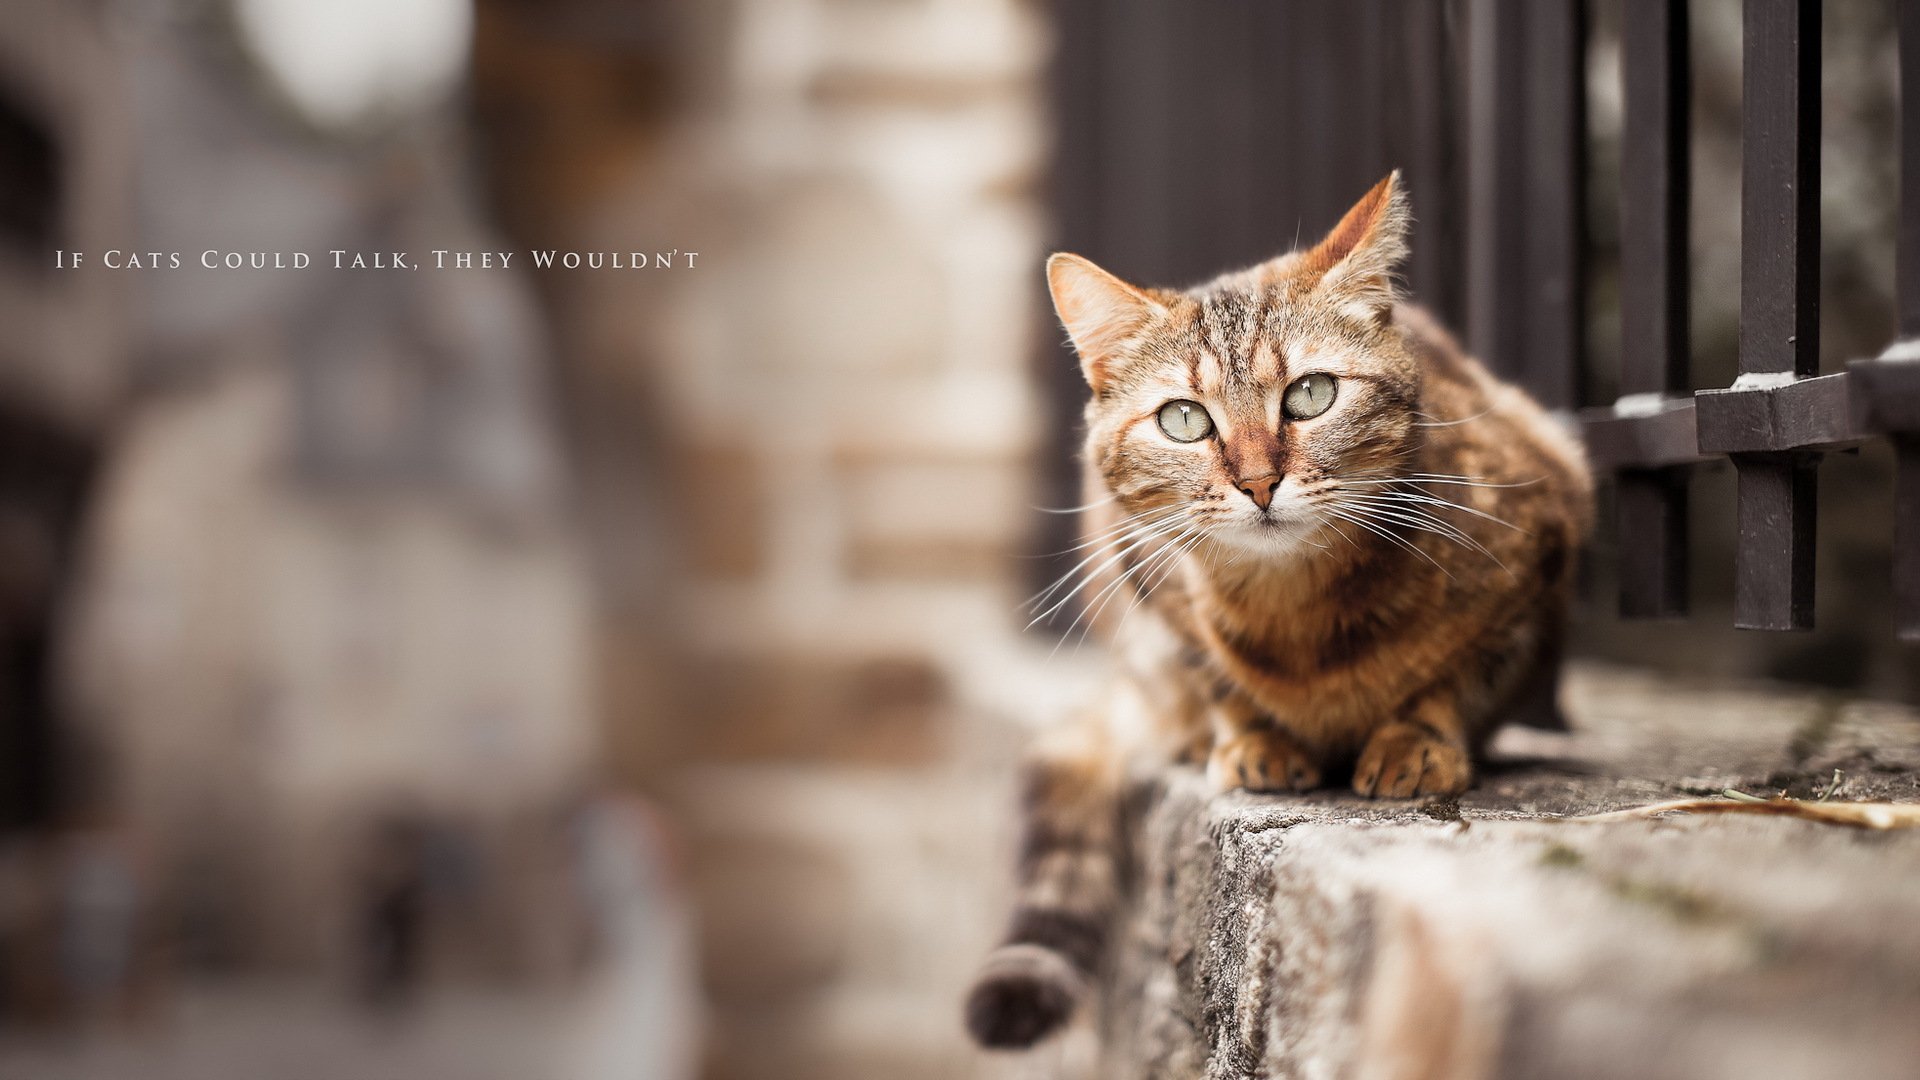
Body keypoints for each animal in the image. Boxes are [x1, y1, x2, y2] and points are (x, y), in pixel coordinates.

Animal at [967, 174, 1597, 1045]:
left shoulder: (1542, 539)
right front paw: (1251, 736)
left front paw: (1415, 735)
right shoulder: (1145, 580)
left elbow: (1457, 673)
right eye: (1183, 418)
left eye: (1311, 394)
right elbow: (1215, 676)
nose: (1259, 482)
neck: (1296, 615)